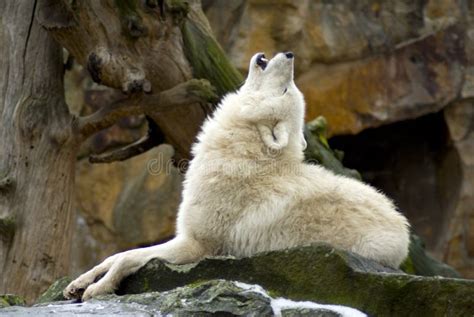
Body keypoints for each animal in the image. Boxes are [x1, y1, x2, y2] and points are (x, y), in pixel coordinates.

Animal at [64, 51, 412, 298]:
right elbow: (116, 255)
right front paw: (77, 284)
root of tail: (404, 230)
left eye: (286, 87)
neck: (244, 153)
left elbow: (128, 258)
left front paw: (97, 289)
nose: (290, 54)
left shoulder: (196, 245)